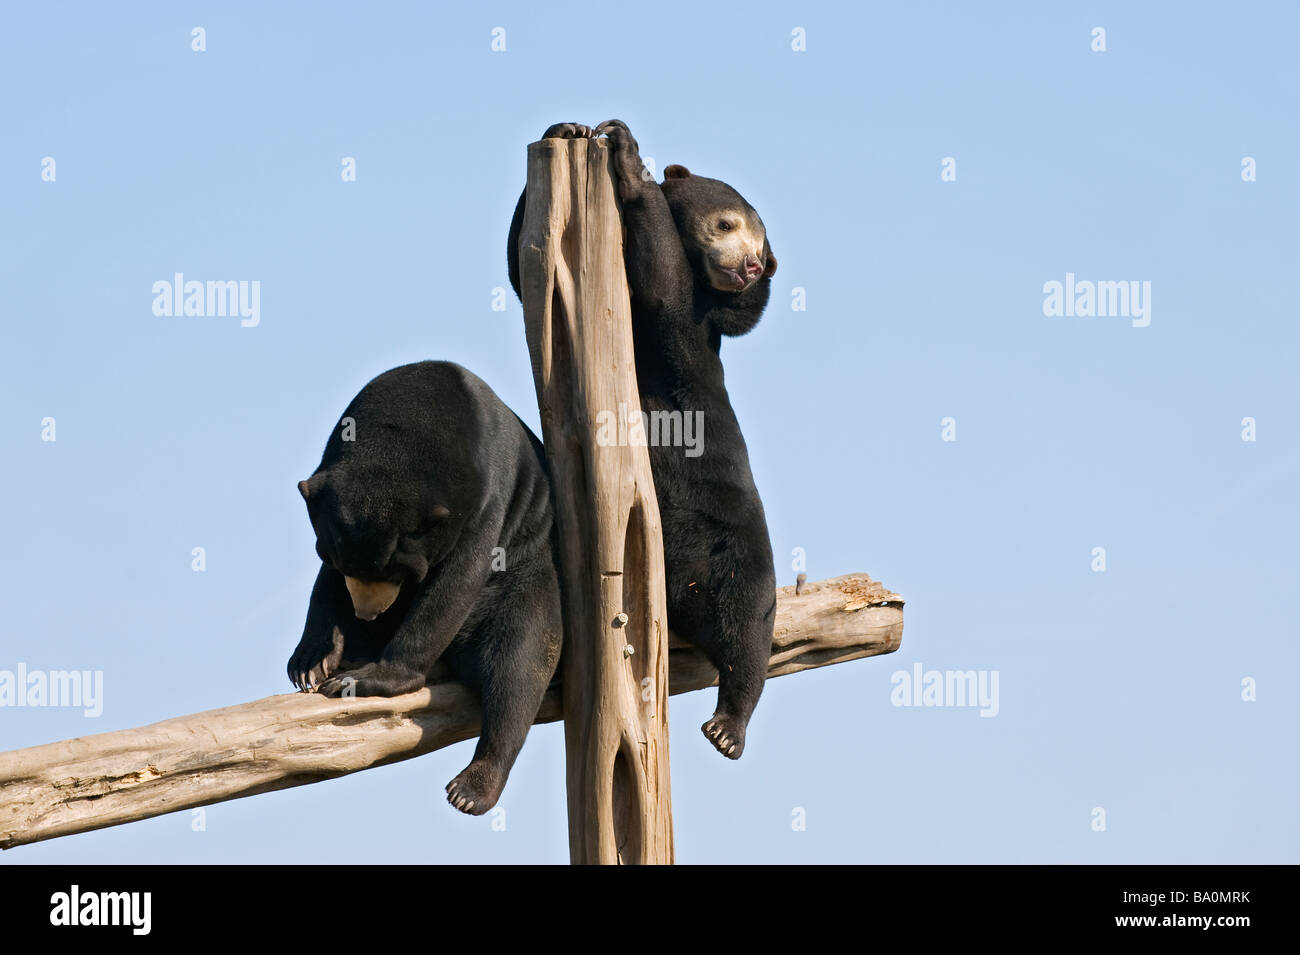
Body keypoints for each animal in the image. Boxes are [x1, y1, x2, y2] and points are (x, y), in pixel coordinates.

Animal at [287, 358, 561, 815]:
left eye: (403, 573)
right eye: (341, 561)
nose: (368, 614)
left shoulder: (490, 497)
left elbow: (458, 581)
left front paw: (368, 677)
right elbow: (325, 584)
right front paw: (311, 662)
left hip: (529, 574)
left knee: (519, 663)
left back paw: (470, 789)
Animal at [504, 121, 769, 764]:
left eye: (758, 239)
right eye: (727, 223)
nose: (752, 267)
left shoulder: (688, 328)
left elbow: (665, 288)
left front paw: (624, 149)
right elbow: (519, 269)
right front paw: (567, 129)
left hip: (743, 552)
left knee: (748, 631)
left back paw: (728, 728)